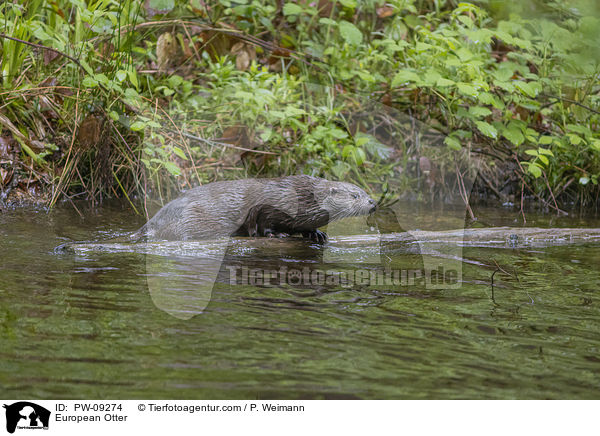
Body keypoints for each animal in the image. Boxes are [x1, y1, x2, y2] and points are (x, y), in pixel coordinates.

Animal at [138, 175, 378, 244]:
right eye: (355, 196)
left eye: (365, 191)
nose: (373, 203)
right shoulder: (268, 206)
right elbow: (260, 223)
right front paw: (276, 234)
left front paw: (316, 233)